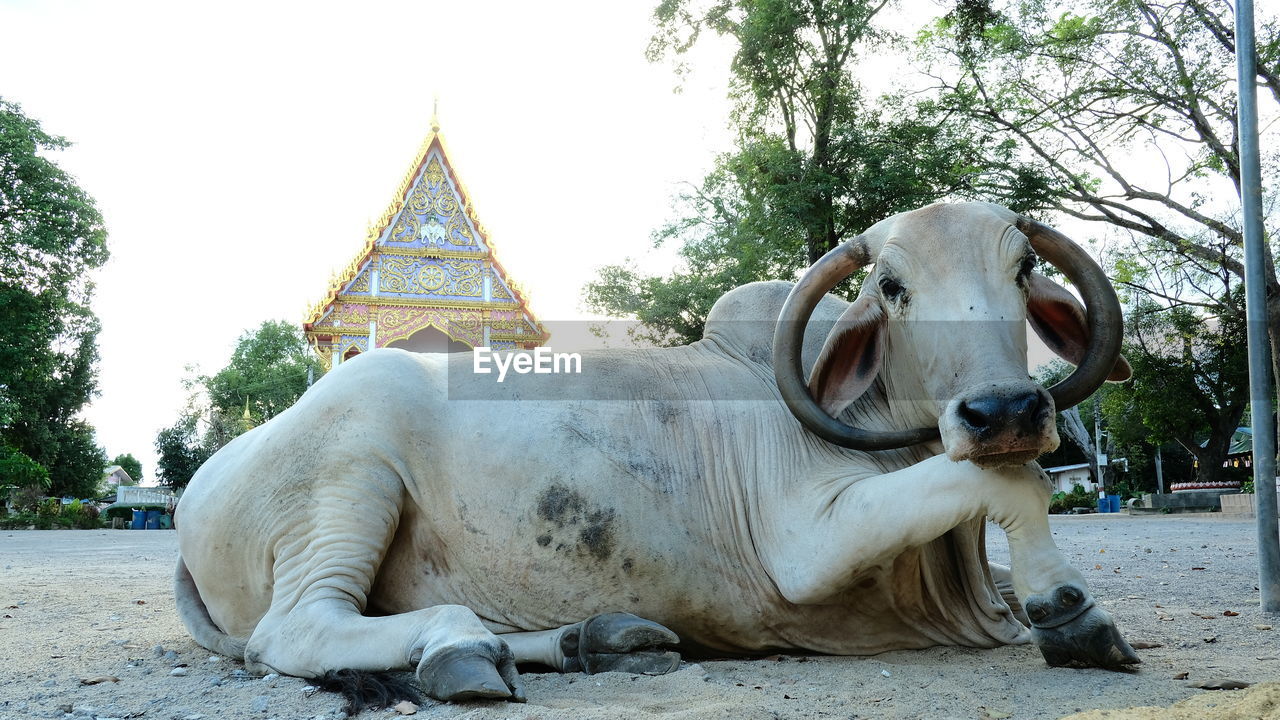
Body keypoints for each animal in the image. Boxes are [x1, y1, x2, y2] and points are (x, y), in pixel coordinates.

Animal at [175, 198, 1136, 702]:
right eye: (892, 286)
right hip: (350, 473)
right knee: (297, 628)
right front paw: (1070, 610)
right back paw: (457, 649)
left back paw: (594, 638)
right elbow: (1011, 480)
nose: (1005, 407)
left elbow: (1006, 494)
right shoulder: (804, 547)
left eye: (1022, 271)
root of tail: (198, 488)